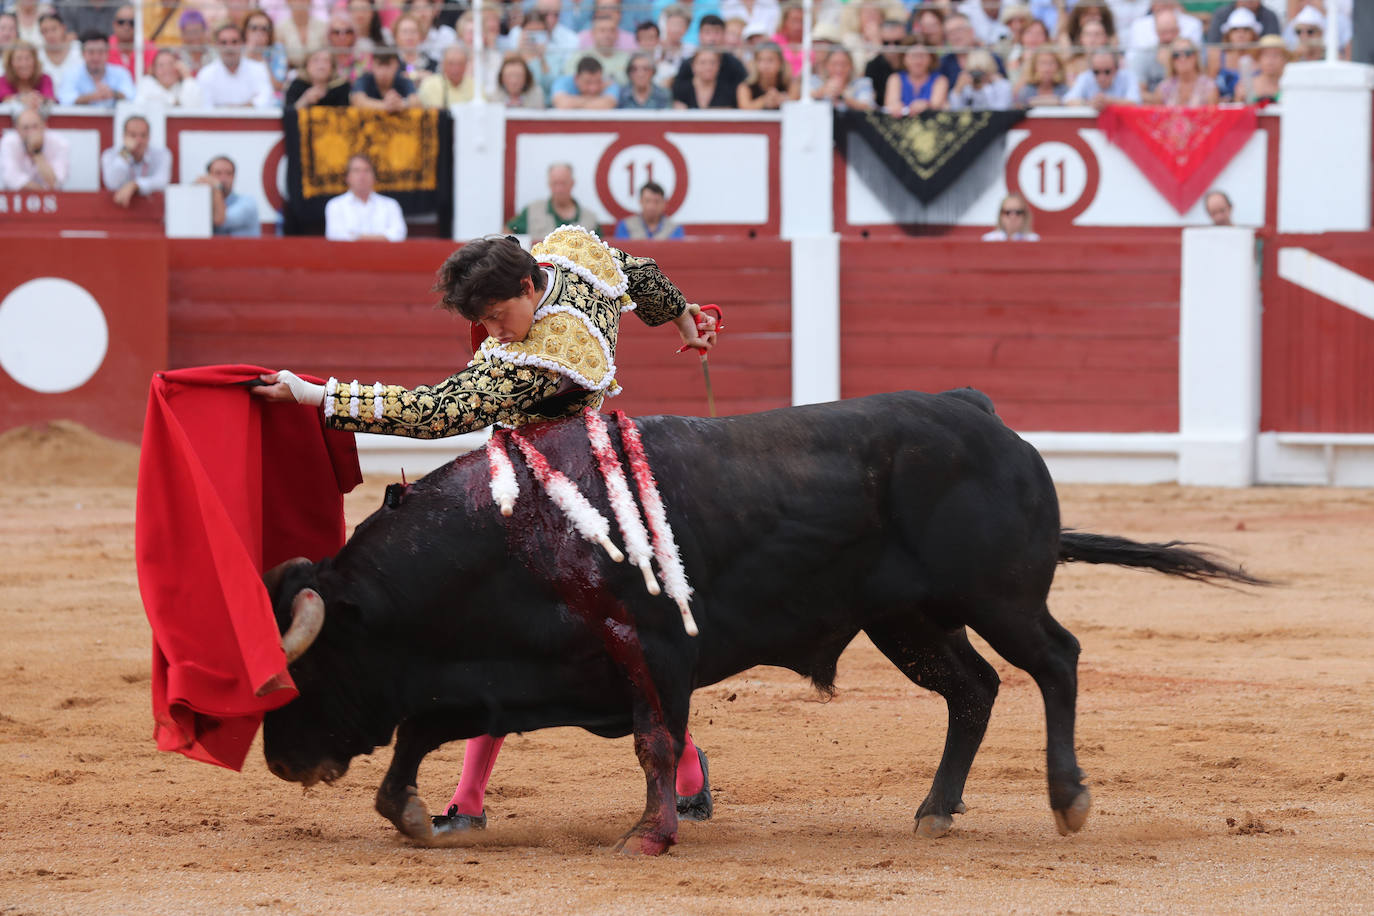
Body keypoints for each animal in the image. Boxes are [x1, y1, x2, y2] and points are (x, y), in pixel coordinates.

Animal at [262, 390, 1258, 856]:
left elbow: (656, 741)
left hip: (1000, 598)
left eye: (307, 667)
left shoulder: (651, 655)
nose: (279, 761)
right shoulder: (521, 675)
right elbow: (424, 729)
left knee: (1056, 660)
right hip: (909, 620)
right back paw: (935, 811)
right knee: (973, 690)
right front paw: (413, 815)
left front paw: (649, 834)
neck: (509, 531)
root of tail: (979, 413)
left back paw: (1067, 798)